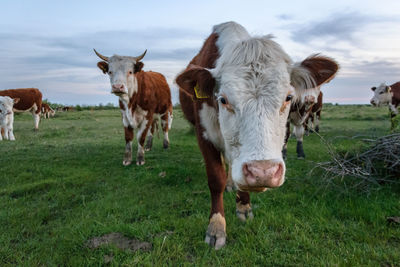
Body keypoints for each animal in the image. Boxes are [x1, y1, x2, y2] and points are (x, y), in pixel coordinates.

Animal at [175, 22, 338, 250]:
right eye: (223, 99)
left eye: (288, 97)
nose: (263, 172)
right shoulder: (204, 135)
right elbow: (215, 178)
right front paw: (216, 228)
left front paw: (244, 207)